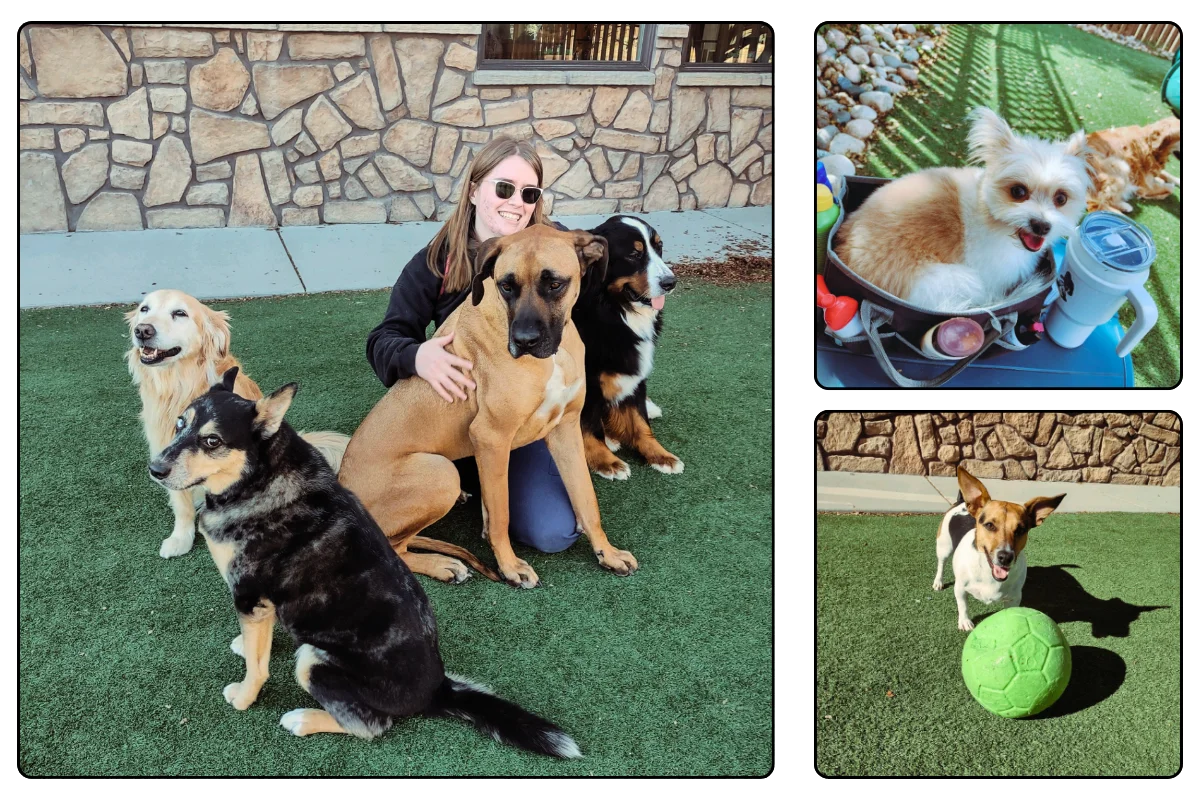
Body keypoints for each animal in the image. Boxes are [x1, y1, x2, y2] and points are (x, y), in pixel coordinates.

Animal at [128, 287, 350, 556]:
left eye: (180, 313)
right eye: (144, 309)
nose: (143, 330)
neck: (179, 385)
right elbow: (180, 501)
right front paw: (181, 537)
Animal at [147, 369, 578, 758]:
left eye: (212, 440)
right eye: (179, 424)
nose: (155, 469)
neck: (259, 479)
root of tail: (437, 689)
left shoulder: (249, 596)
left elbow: (257, 666)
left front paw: (242, 698)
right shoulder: (265, 604)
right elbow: (262, 641)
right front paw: (248, 643)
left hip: (314, 662)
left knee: (371, 725)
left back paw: (302, 719)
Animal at [338, 224, 638, 587]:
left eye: (554, 284)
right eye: (506, 285)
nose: (523, 341)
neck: (555, 356)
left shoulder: (566, 430)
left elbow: (587, 500)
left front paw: (607, 553)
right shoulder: (491, 437)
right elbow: (501, 515)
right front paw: (509, 566)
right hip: (440, 473)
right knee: (394, 549)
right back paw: (443, 564)